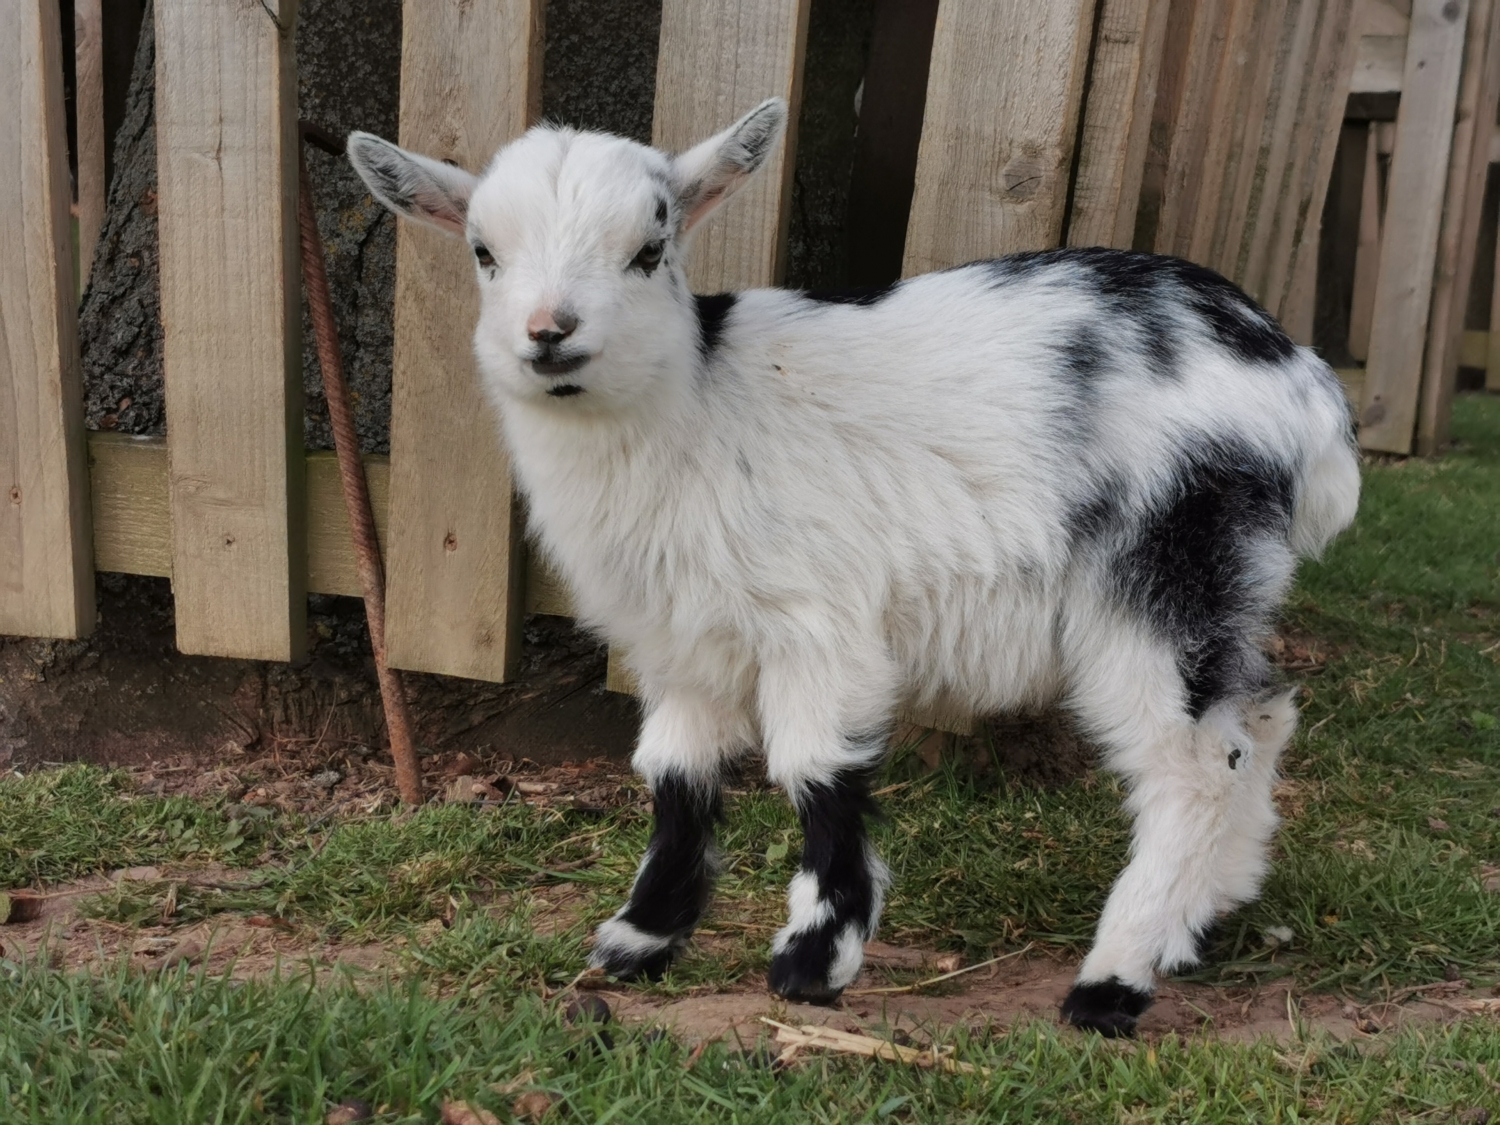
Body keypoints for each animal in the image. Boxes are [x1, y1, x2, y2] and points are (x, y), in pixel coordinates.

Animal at [348, 96, 1360, 1036]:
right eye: (483, 251)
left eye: (650, 247)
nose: (549, 332)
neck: (697, 409)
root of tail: (1301, 385)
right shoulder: (681, 642)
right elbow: (674, 776)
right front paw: (641, 937)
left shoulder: (815, 620)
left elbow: (816, 770)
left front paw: (813, 960)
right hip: (1225, 578)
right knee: (1261, 716)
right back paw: (1199, 922)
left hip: (1162, 563)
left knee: (1196, 762)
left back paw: (1113, 980)